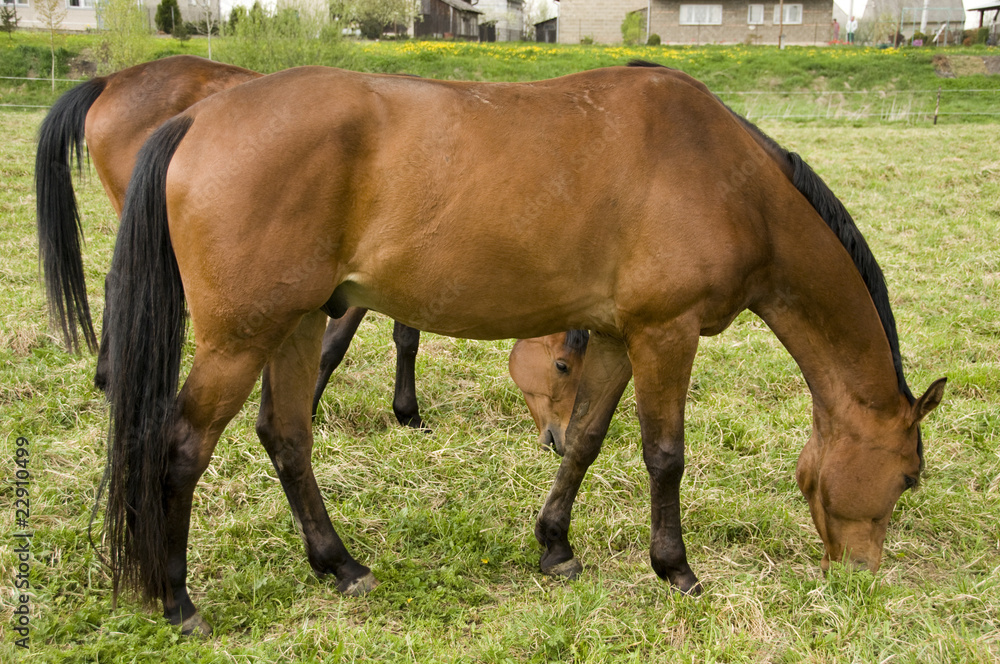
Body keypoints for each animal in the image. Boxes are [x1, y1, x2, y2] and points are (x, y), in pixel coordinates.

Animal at [103, 62, 945, 635]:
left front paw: (555, 547)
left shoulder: (616, 336)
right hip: (242, 337)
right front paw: (675, 569)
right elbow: (665, 454)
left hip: (300, 320)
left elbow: (587, 442)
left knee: (286, 437)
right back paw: (178, 599)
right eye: (907, 478)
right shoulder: (664, 333)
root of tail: (198, 119)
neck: (728, 178)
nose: (861, 576)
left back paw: (340, 565)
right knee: (182, 446)